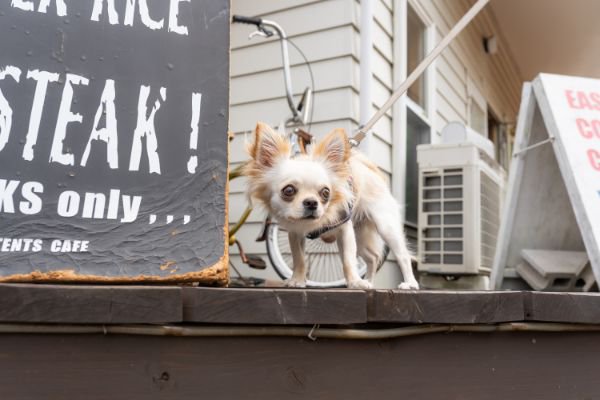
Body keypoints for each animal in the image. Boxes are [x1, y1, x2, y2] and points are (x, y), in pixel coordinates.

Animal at [241, 122, 420, 290]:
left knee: (402, 256)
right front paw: (297, 280)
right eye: (289, 190)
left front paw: (355, 282)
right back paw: (369, 280)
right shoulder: (295, 233)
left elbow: (348, 260)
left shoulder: (345, 230)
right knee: (373, 258)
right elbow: (299, 259)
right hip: (360, 235)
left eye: (326, 192)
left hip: (385, 227)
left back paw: (409, 284)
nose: (311, 202)